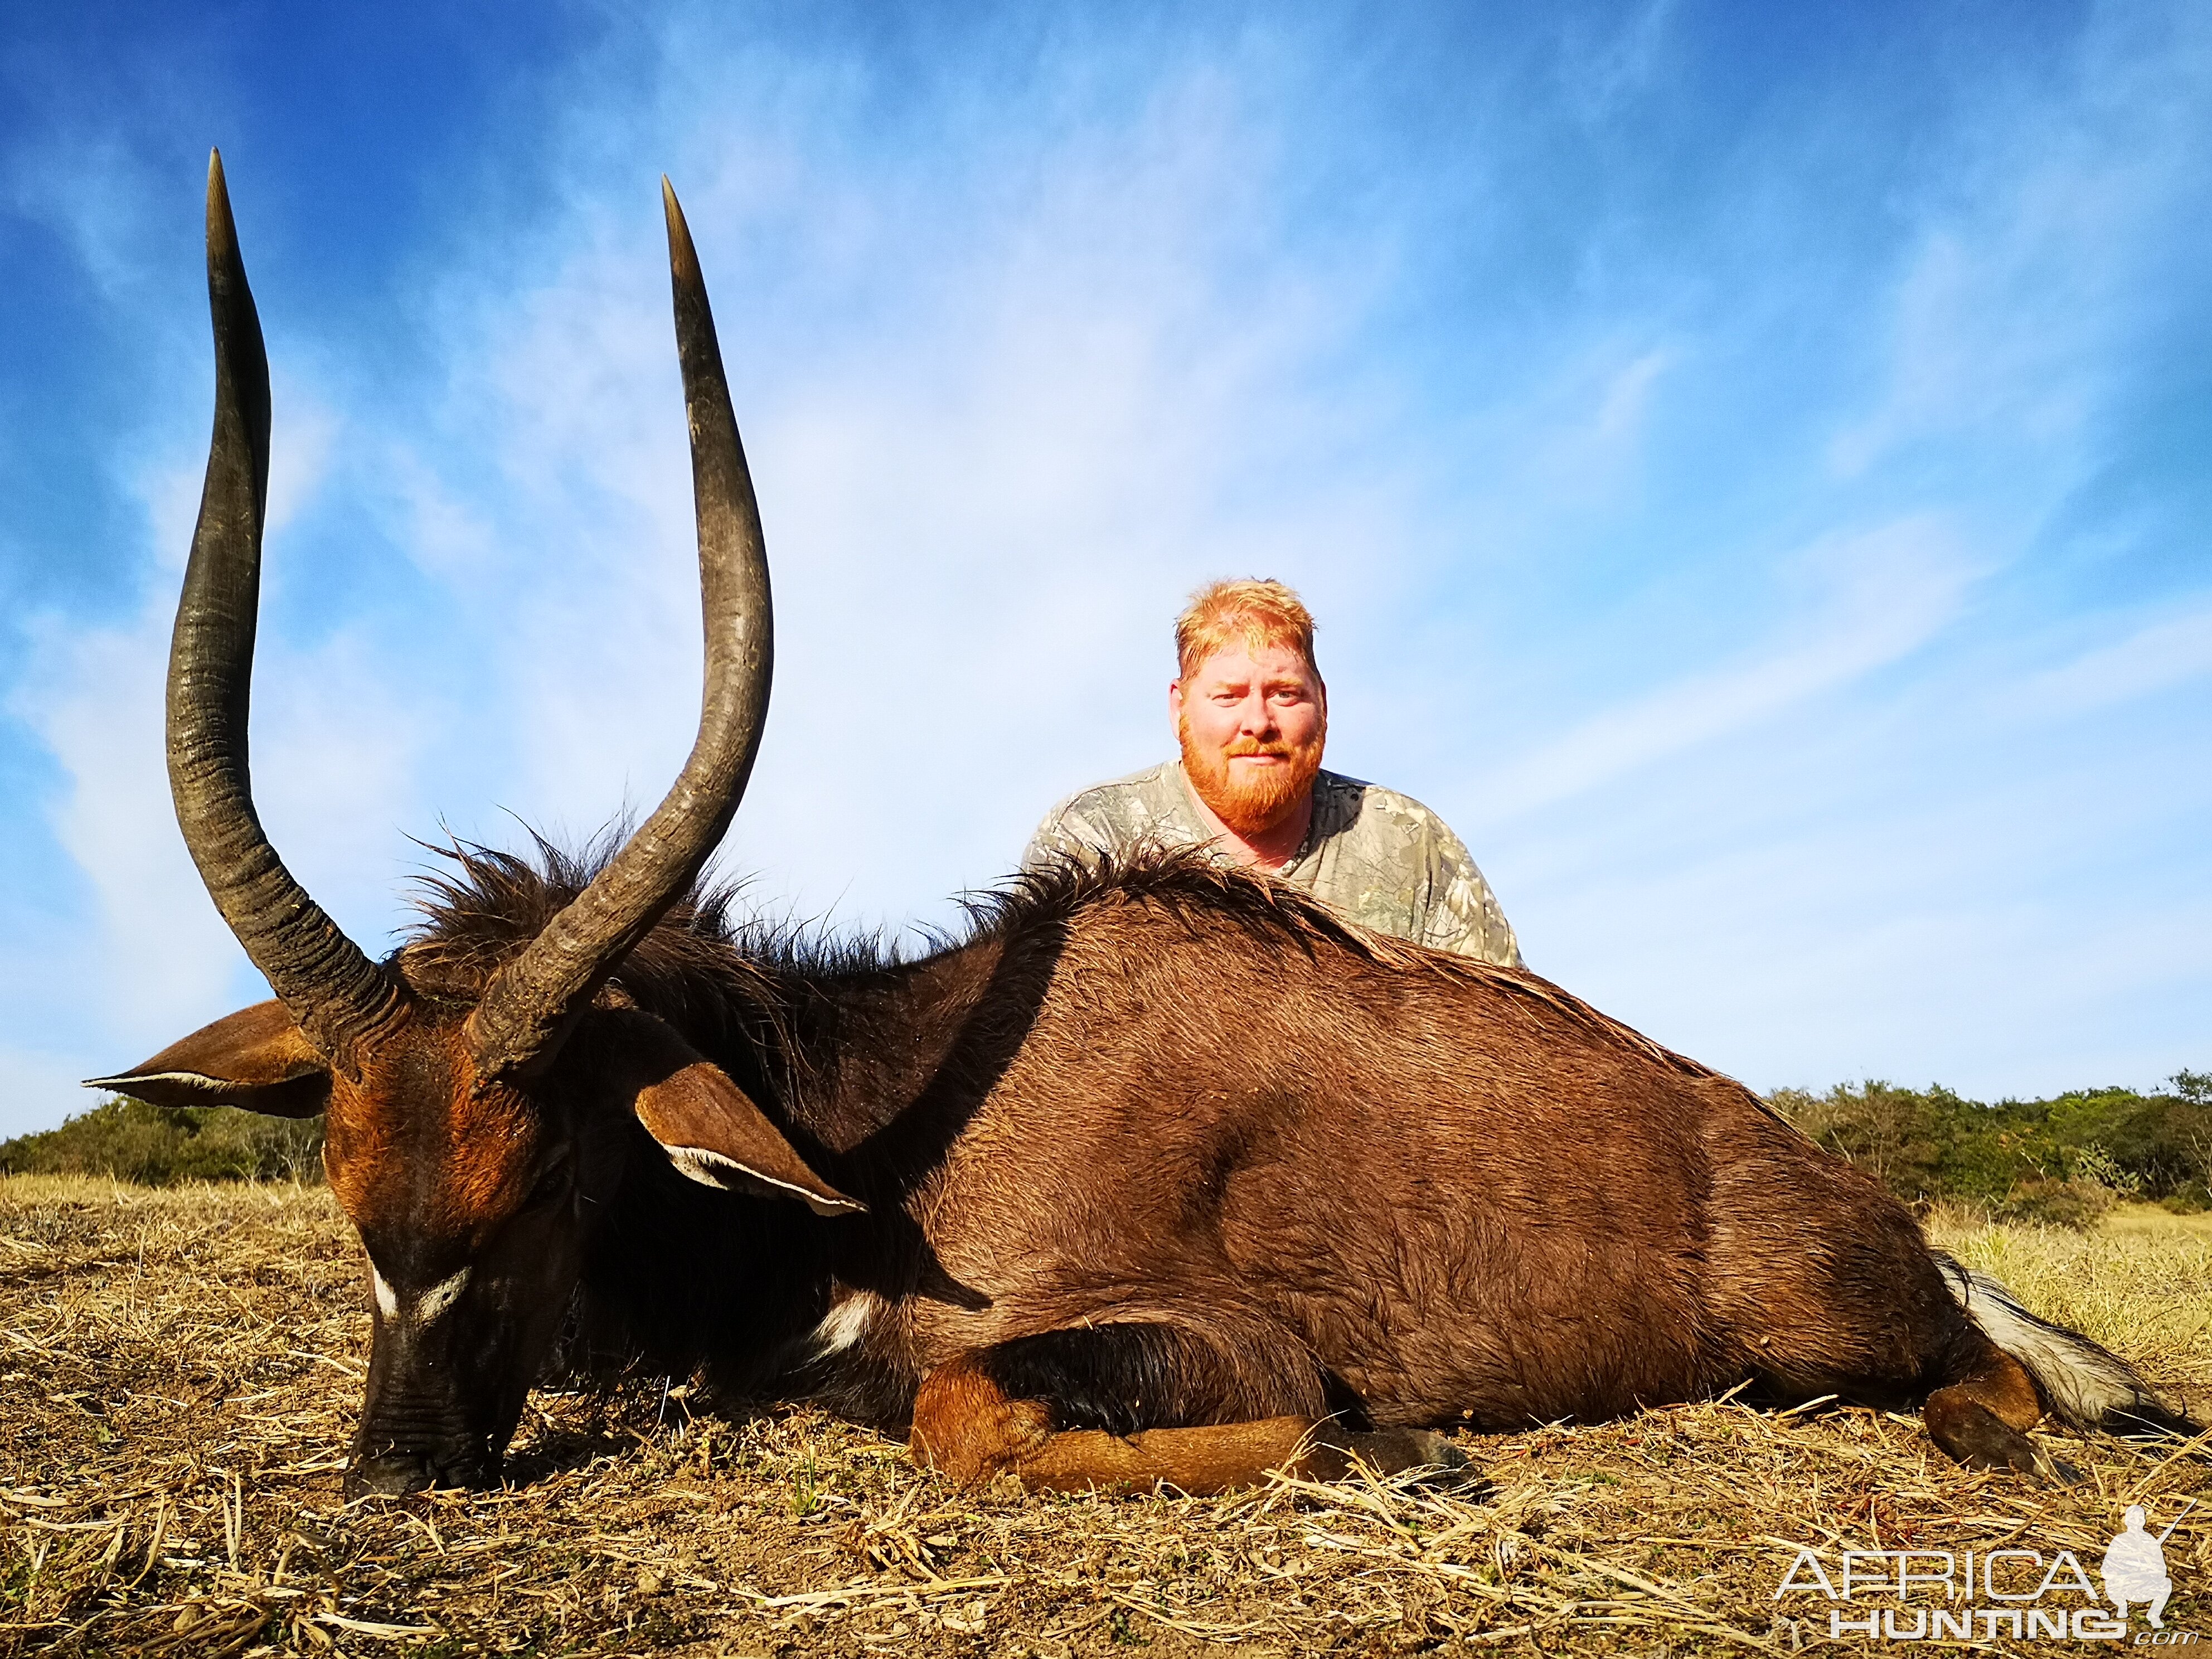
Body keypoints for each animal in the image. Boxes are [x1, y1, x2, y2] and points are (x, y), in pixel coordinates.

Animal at [95, 159, 2185, 1504]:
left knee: (1988, 1377)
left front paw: (1396, 1449)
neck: (883, 1118)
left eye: (539, 1176)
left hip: (1826, 1330)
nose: (394, 1476)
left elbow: (971, 1419)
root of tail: (1833, 1181)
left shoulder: (1200, 1332)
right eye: (344, 1182)